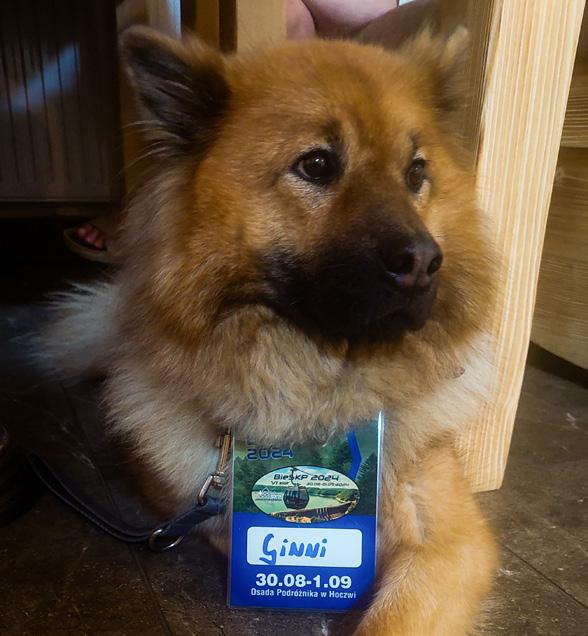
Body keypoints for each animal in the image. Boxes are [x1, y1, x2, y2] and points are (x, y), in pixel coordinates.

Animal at [43, 25, 498, 635]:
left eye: (417, 173)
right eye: (317, 165)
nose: (426, 262)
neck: (316, 382)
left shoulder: (449, 540)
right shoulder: (203, 512)